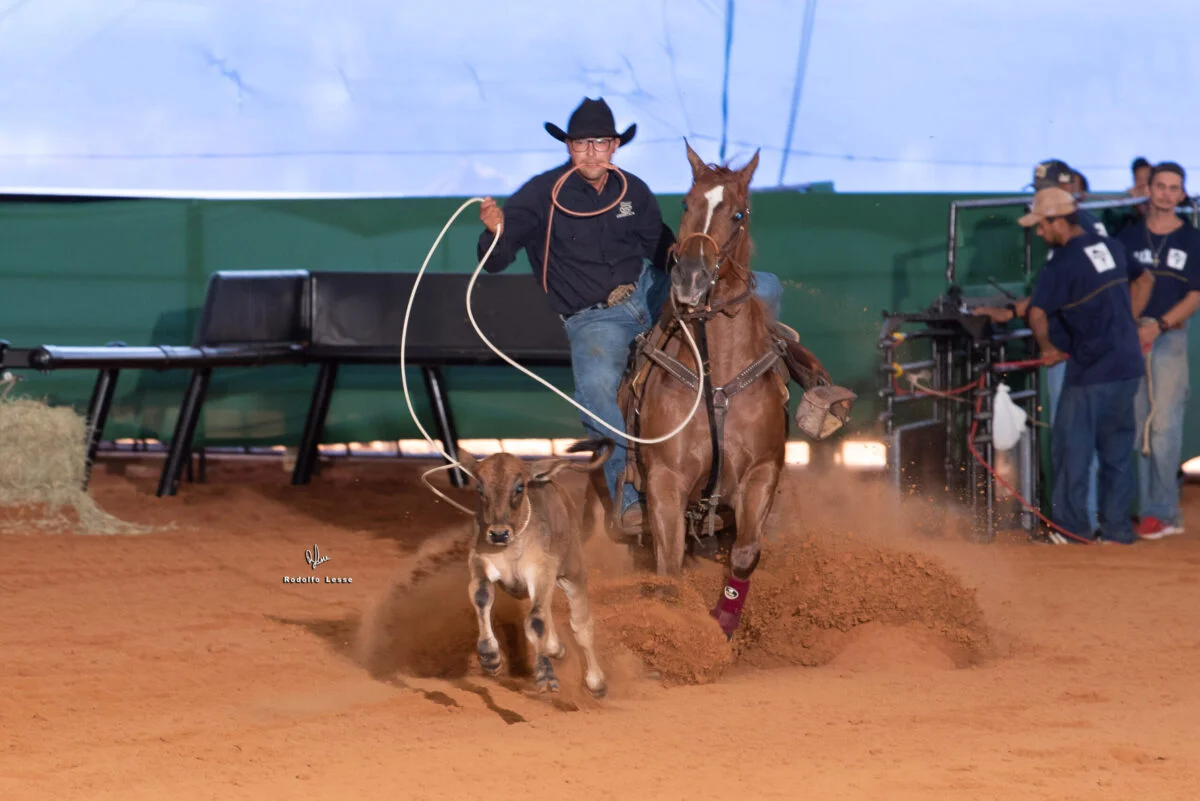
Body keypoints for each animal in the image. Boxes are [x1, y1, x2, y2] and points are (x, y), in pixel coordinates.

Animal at [589, 140, 792, 638]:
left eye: (738, 213)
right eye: (686, 203)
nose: (692, 278)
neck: (716, 379)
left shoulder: (762, 471)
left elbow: (745, 554)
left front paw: (722, 623)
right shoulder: (666, 480)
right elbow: (669, 568)